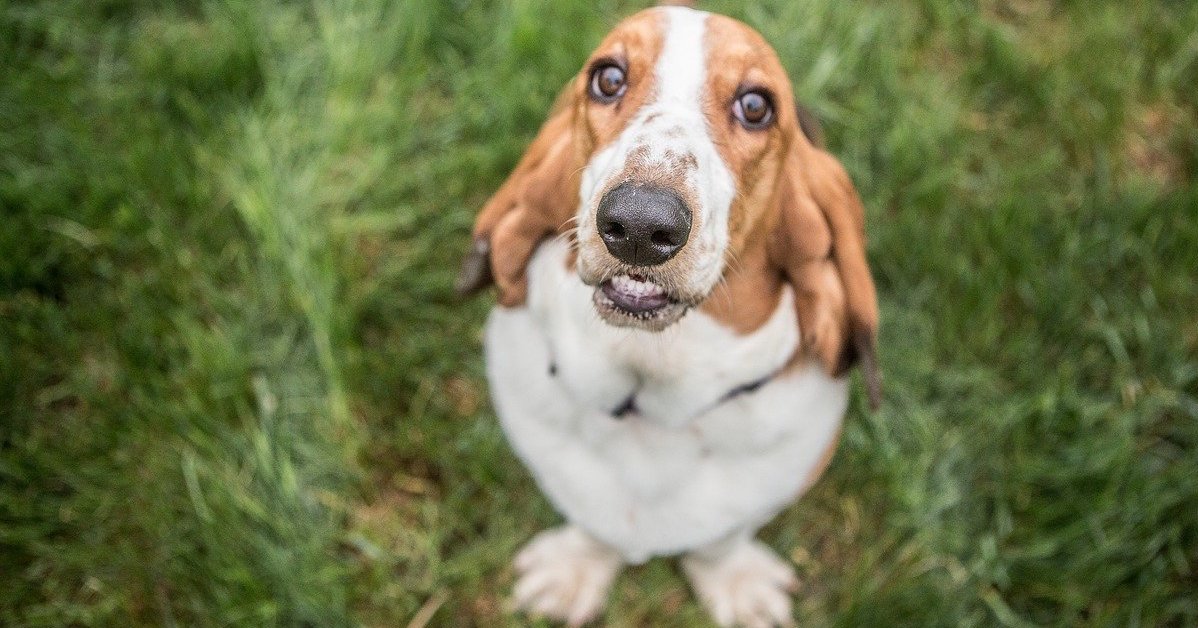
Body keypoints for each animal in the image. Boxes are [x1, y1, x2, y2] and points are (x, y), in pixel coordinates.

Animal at [457, 3, 881, 623]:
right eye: (608, 78)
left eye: (756, 106)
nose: (639, 223)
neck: (648, 397)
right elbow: (593, 526)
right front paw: (573, 572)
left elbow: (722, 540)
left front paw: (734, 584)